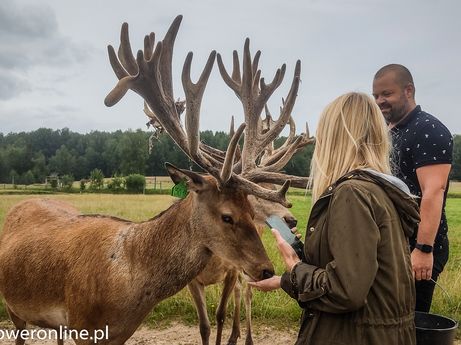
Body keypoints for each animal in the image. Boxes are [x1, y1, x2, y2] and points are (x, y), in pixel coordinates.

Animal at [0, 15, 308, 344]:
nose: (266, 270)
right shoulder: (83, 323)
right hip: (14, 307)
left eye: (251, 210)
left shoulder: (117, 334)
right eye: (227, 216)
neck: (124, 287)